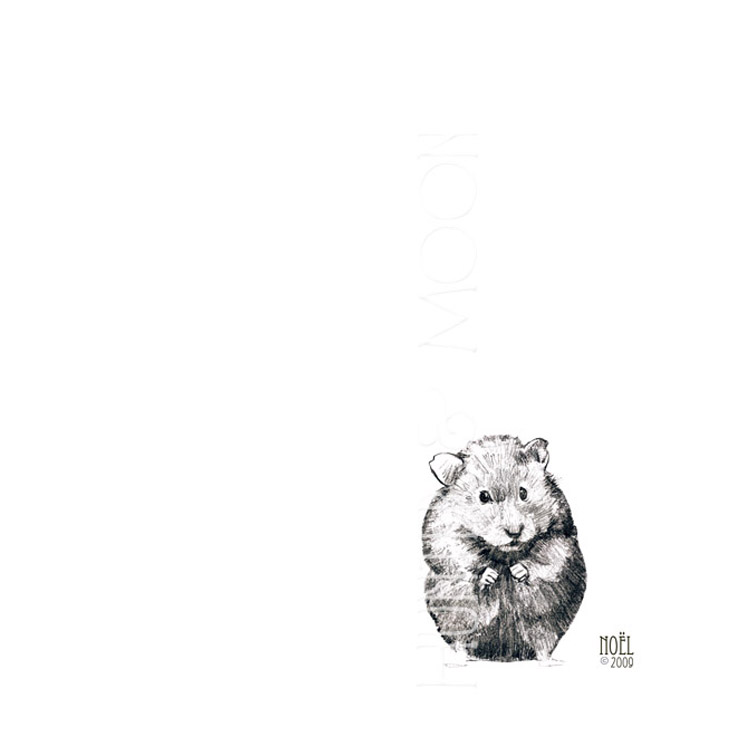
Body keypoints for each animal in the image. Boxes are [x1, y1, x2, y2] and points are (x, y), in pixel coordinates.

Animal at [422, 435, 586, 662]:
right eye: (483, 496)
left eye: (523, 492)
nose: (514, 532)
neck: (505, 553)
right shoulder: (444, 536)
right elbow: (461, 558)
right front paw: (490, 574)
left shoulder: (560, 531)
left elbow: (547, 555)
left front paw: (517, 571)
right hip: (456, 616)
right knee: (461, 641)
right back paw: (462, 660)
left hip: (544, 622)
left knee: (543, 643)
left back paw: (548, 661)